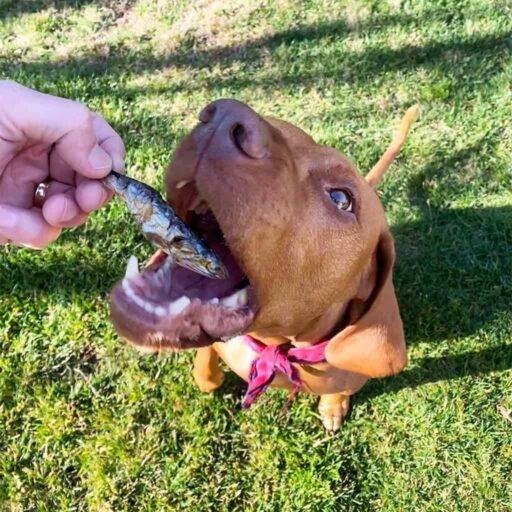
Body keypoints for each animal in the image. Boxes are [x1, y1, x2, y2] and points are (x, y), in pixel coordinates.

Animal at [110, 100, 418, 432]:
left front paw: (333, 407)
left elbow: (338, 391)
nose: (224, 116)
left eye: (341, 198)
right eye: (281, 129)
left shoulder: (351, 377)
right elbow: (206, 368)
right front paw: (207, 378)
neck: (277, 348)